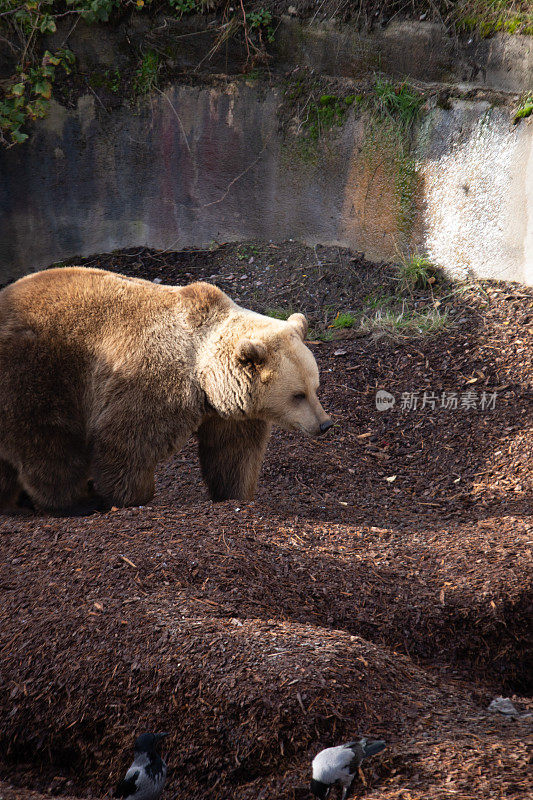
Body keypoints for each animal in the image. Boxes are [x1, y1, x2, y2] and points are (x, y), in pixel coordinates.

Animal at [0, 266, 332, 510]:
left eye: (315, 387)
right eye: (298, 395)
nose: (325, 424)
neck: (204, 378)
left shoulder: (230, 410)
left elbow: (234, 453)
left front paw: (235, 494)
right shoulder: (150, 380)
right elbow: (125, 442)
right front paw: (131, 497)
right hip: (38, 368)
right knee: (48, 440)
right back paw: (75, 502)